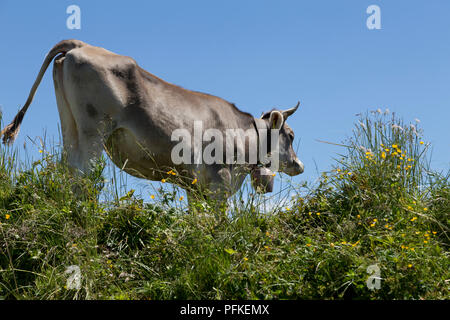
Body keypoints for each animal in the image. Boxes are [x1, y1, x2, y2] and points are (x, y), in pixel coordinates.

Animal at [1, 40, 304, 204]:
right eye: (290, 135)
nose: (298, 164)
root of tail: (82, 45)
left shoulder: (196, 188)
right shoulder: (219, 181)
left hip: (70, 125)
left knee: (67, 168)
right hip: (93, 130)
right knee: (82, 171)